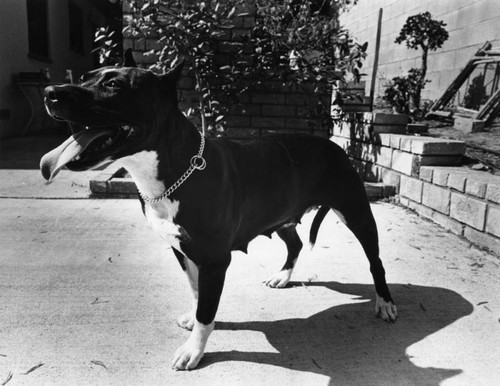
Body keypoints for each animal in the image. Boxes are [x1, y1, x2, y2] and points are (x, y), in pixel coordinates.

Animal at [41, 58, 396, 370]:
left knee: (375, 261)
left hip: (356, 212)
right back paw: (282, 276)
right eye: (85, 77)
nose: (50, 92)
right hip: (282, 214)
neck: (174, 170)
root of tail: (334, 145)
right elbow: (198, 293)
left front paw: (193, 351)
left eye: (113, 85)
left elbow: (206, 310)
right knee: (294, 244)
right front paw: (196, 320)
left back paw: (385, 303)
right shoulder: (182, 250)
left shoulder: (215, 260)